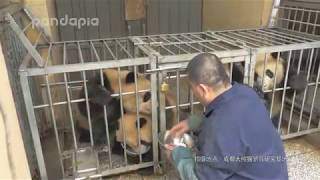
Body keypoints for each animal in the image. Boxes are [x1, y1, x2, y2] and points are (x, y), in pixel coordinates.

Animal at [6, 3, 320, 179]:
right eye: (145, 98)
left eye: (268, 73)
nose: (144, 146)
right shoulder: (103, 85)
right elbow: (91, 104)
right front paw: (108, 107)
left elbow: (288, 84)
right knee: (88, 127)